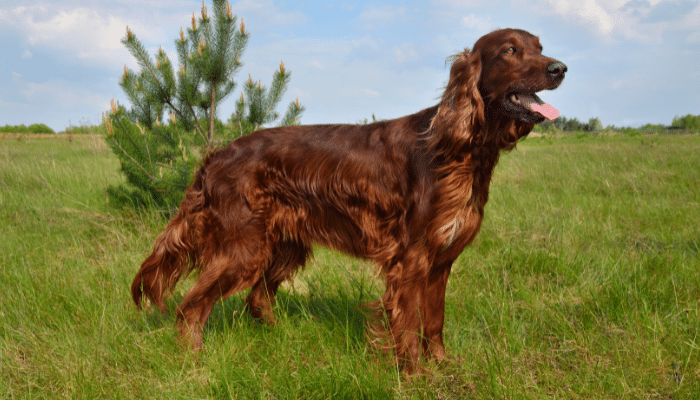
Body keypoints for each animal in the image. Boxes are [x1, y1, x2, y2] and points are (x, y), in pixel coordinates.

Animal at [133, 28, 568, 372]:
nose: (559, 68)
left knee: (257, 299)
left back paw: (282, 339)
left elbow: (435, 321)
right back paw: (194, 363)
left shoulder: (441, 260)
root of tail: (216, 155)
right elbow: (409, 324)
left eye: (540, 46)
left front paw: (444, 366)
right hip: (243, 248)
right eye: (510, 50)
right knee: (191, 308)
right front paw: (417, 377)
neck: (459, 147)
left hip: (283, 244)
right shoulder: (411, 259)